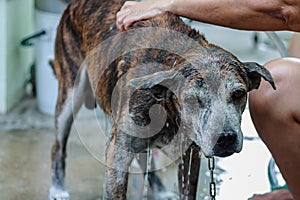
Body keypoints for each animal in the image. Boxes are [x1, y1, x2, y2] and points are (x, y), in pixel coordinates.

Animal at [48, 0, 274, 200]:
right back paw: (58, 189)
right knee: (58, 147)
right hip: (70, 95)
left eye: (238, 94)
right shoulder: (118, 152)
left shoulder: (190, 155)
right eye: (192, 100)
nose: (226, 138)